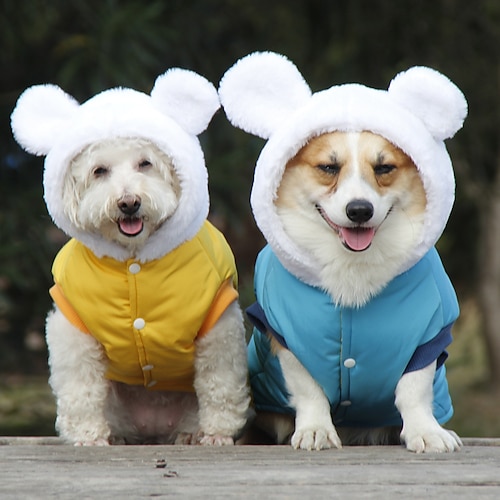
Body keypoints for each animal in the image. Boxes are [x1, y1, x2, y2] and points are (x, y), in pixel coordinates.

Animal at [10, 68, 254, 444]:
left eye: (145, 164)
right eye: (99, 171)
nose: (128, 203)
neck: (134, 258)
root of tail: (151, 427)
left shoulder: (219, 323)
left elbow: (220, 381)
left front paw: (217, 432)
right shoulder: (72, 328)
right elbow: (80, 386)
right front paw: (88, 435)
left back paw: (192, 433)